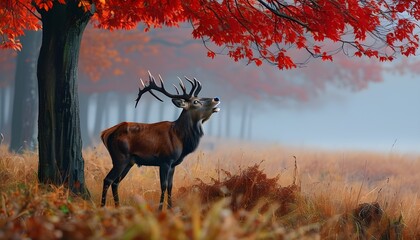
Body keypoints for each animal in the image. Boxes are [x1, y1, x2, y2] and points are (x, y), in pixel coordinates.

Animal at [100, 71, 221, 210]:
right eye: (196, 101)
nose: (216, 98)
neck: (181, 138)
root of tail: (106, 133)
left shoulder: (173, 164)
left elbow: (170, 186)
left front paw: (170, 208)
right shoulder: (165, 160)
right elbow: (163, 186)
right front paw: (160, 209)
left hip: (129, 161)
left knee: (115, 182)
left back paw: (118, 206)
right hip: (120, 157)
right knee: (108, 180)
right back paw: (102, 207)